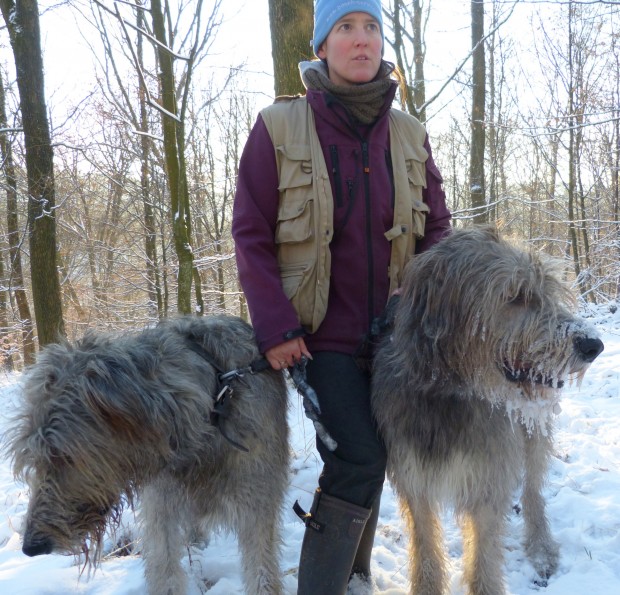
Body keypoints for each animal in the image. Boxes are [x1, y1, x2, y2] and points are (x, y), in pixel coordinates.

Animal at [6, 315, 289, 594]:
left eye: (64, 456)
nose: (31, 546)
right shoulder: (161, 506)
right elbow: (165, 568)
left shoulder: (257, 504)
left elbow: (262, 570)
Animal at [372, 226, 604, 595]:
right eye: (516, 296)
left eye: (548, 292)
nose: (593, 345)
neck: (450, 394)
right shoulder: (414, 477)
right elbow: (425, 545)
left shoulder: (488, 479)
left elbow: (484, 552)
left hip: (533, 434)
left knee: (533, 490)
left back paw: (541, 549)